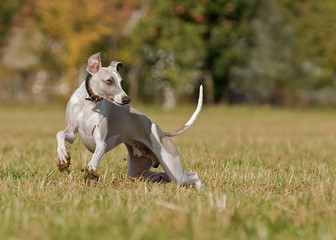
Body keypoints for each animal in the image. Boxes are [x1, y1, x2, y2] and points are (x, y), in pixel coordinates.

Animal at [56, 52, 202, 188]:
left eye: (121, 82)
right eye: (109, 81)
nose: (126, 99)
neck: (89, 104)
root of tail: (163, 133)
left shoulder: (101, 143)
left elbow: (93, 161)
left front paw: (90, 174)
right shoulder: (72, 132)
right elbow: (60, 134)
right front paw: (63, 155)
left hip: (173, 169)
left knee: (193, 175)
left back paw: (199, 189)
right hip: (138, 169)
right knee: (155, 174)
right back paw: (162, 177)